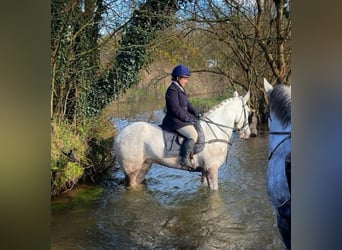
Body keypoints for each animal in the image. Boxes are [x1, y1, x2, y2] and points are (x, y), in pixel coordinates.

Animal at [115, 91, 251, 190]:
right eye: (249, 113)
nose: (248, 134)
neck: (215, 131)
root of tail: (119, 136)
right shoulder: (212, 169)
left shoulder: (205, 170)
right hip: (132, 171)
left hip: (144, 166)